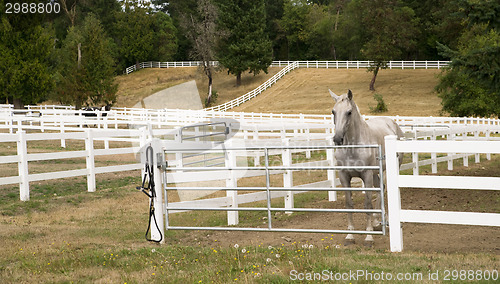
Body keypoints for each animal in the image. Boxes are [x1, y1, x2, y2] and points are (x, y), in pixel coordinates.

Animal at [330, 89, 404, 246]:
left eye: (349, 112)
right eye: (333, 111)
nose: (338, 139)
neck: (353, 147)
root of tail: (393, 124)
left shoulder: (366, 175)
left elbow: (367, 204)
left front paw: (368, 237)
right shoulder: (344, 176)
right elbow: (349, 204)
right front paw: (350, 236)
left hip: (385, 171)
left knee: (384, 190)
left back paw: (383, 221)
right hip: (376, 174)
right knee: (381, 188)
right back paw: (377, 221)